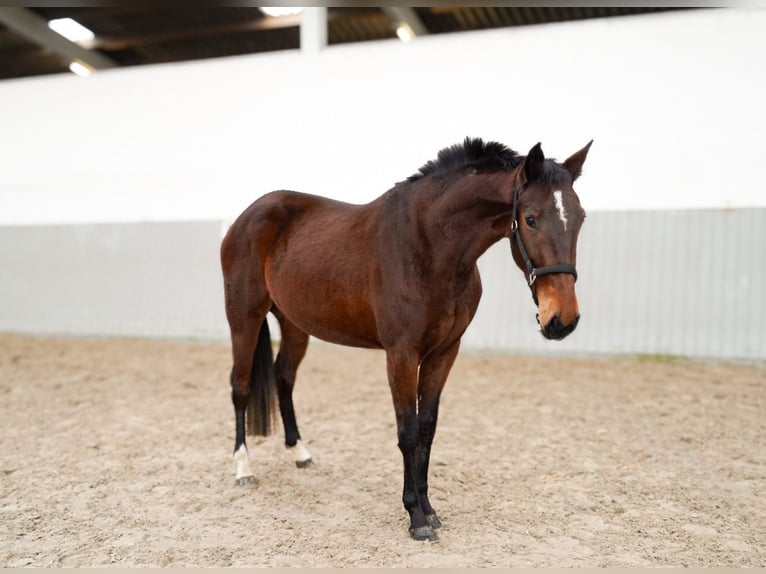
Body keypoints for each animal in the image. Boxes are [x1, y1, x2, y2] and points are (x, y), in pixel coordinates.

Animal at [220, 137, 592, 544]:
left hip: (294, 324)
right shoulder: (401, 354)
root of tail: (249, 214)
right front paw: (416, 517)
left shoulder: (444, 352)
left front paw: (430, 508)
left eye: (581, 217)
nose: (562, 320)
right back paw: (243, 469)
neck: (429, 245)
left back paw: (300, 453)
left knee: (284, 377)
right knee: (240, 386)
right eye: (531, 218)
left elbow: (427, 428)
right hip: (244, 318)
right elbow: (408, 431)